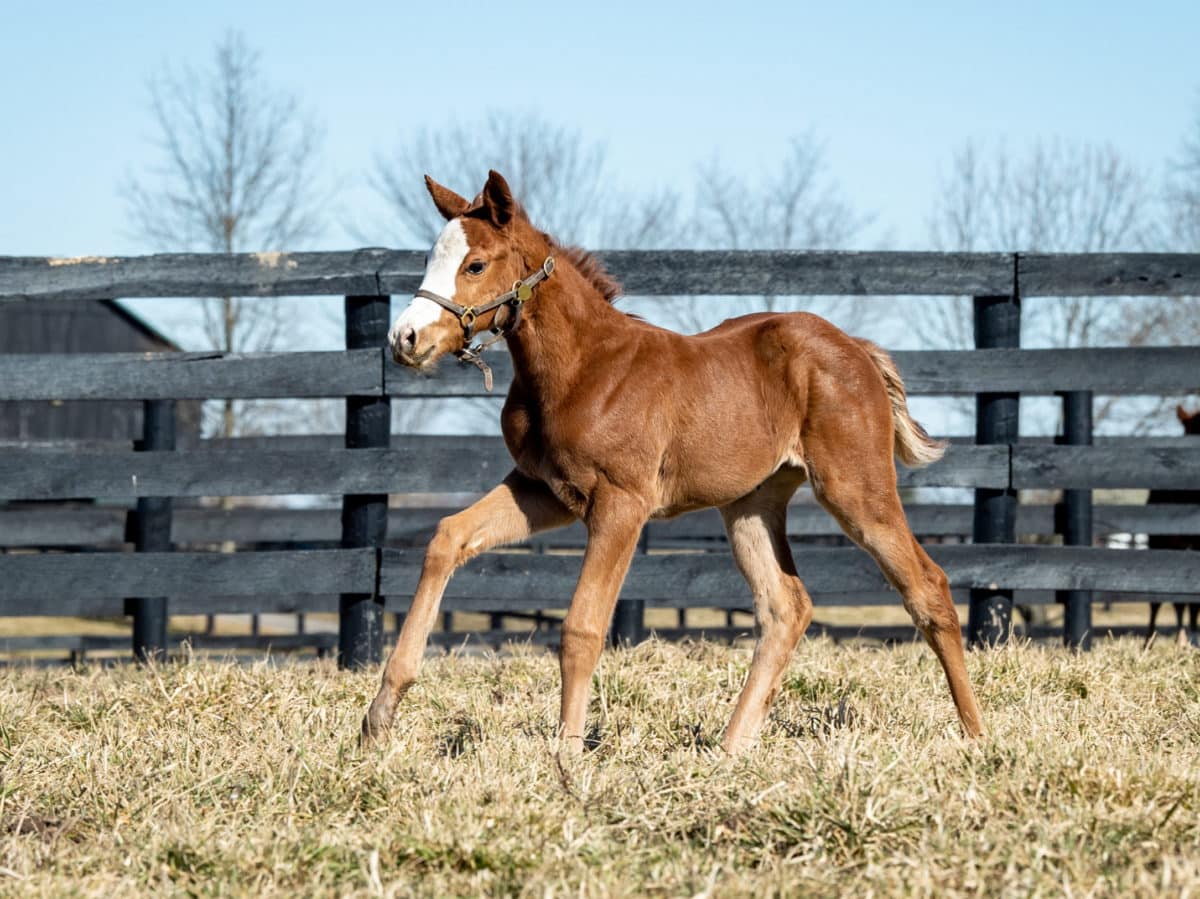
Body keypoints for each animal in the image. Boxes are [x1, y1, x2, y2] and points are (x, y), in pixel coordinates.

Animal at [364, 171, 984, 753]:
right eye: (430, 259)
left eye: (475, 265)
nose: (406, 338)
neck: (582, 368)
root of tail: (857, 349)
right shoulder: (542, 491)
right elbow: (447, 537)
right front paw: (379, 716)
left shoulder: (621, 503)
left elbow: (582, 627)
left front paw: (566, 759)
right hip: (751, 504)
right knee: (786, 606)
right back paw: (730, 751)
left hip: (854, 488)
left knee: (928, 586)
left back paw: (976, 735)